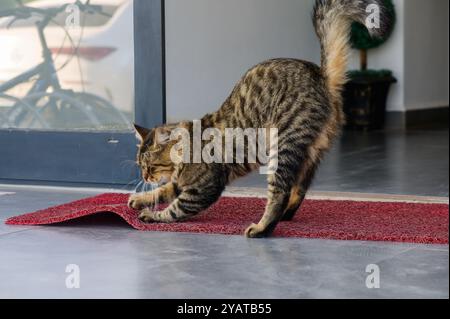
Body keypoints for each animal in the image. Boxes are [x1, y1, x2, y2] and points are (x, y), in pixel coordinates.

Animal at [128, 0, 392, 239]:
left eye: (150, 166)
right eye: (140, 166)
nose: (144, 177)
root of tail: (321, 76)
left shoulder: (202, 189)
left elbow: (174, 209)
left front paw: (152, 215)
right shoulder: (180, 183)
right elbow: (165, 190)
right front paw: (141, 198)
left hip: (283, 146)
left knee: (279, 193)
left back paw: (262, 228)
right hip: (311, 153)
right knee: (299, 188)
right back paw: (285, 214)